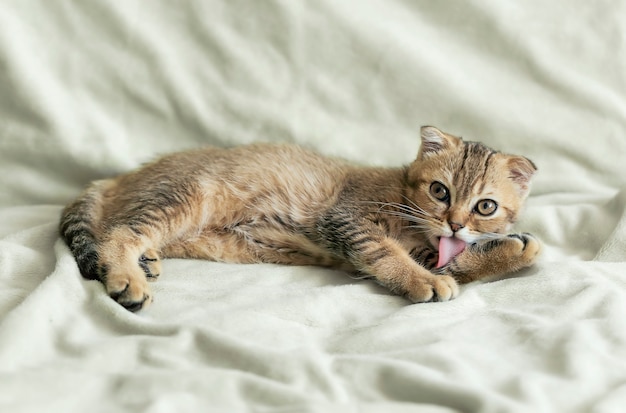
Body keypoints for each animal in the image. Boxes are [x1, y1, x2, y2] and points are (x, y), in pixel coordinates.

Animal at [61, 127, 536, 310]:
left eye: (485, 207)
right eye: (440, 191)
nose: (455, 223)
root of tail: (117, 177)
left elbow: (455, 261)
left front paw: (510, 251)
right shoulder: (347, 218)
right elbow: (387, 254)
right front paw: (423, 281)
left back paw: (146, 260)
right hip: (185, 196)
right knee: (119, 232)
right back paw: (128, 277)